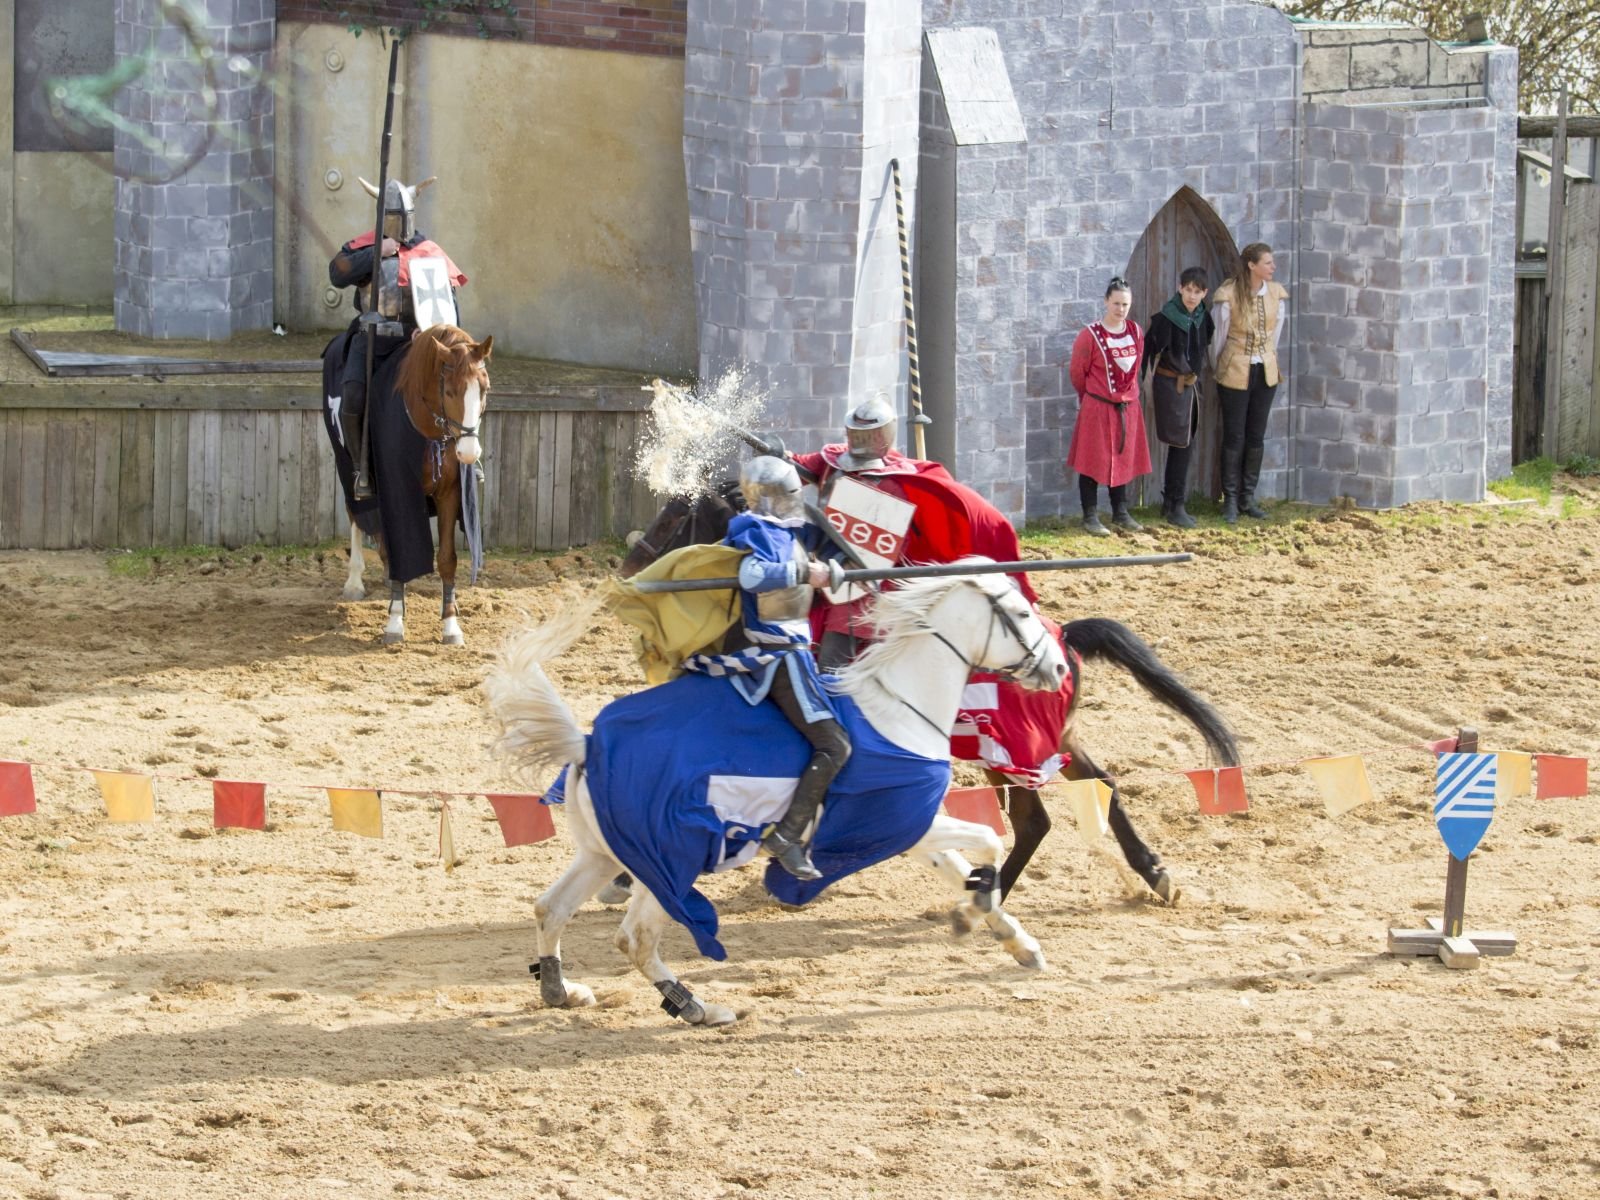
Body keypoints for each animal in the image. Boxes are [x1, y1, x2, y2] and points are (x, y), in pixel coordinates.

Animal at [323, 324, 493, 645]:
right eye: (449, 391)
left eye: (484, 389)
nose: (468, 453)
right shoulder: (395, 489)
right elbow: (400, 549)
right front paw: (394, 621)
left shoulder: (450, 493)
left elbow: (447, 558)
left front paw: (450, 624)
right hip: (346, 466)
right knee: (356, 514)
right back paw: (355, 581)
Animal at [484, 564, 1069, 1026]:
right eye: (1020, 613)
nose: (1059, 669)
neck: (900, 707)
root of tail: (587, 744)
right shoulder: (911, 823)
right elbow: (990, 839)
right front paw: (971, 914)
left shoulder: (907, 829)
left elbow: (962, 865)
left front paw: (1018, 943)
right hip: (666, 861)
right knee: (635, 938)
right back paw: (698, 1009)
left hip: (602, 854)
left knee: (550, 908)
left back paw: (560, 991)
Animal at [616, 487, 1239, 906]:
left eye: (674, 515)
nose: (629, 566)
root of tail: (1063, 640)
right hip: (1049, 743)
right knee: (1100, 785)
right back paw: (1152, 872)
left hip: (1011, 752)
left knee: (1037, 820)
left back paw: (992, 889)